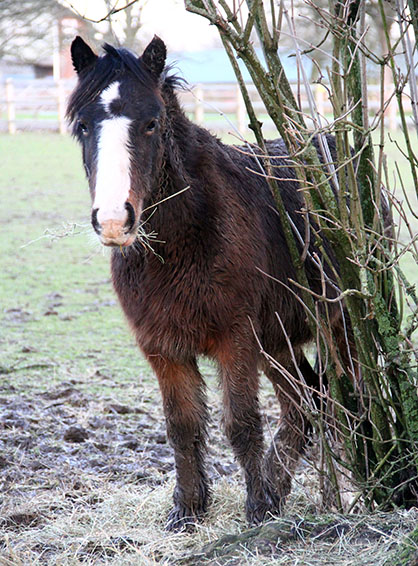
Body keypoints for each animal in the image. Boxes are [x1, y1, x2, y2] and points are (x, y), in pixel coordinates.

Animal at [68, 36, 346, 532]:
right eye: (83, 126)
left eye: (152, 123)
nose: (115, 221)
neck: (184, 241)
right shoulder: (162, 348)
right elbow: (182, 425)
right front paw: (189, 509)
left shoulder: (236, 339)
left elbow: (241, 422)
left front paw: (258, 508)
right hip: (277, 342)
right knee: (303, 405)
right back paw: (280, 482)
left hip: (339, 325)